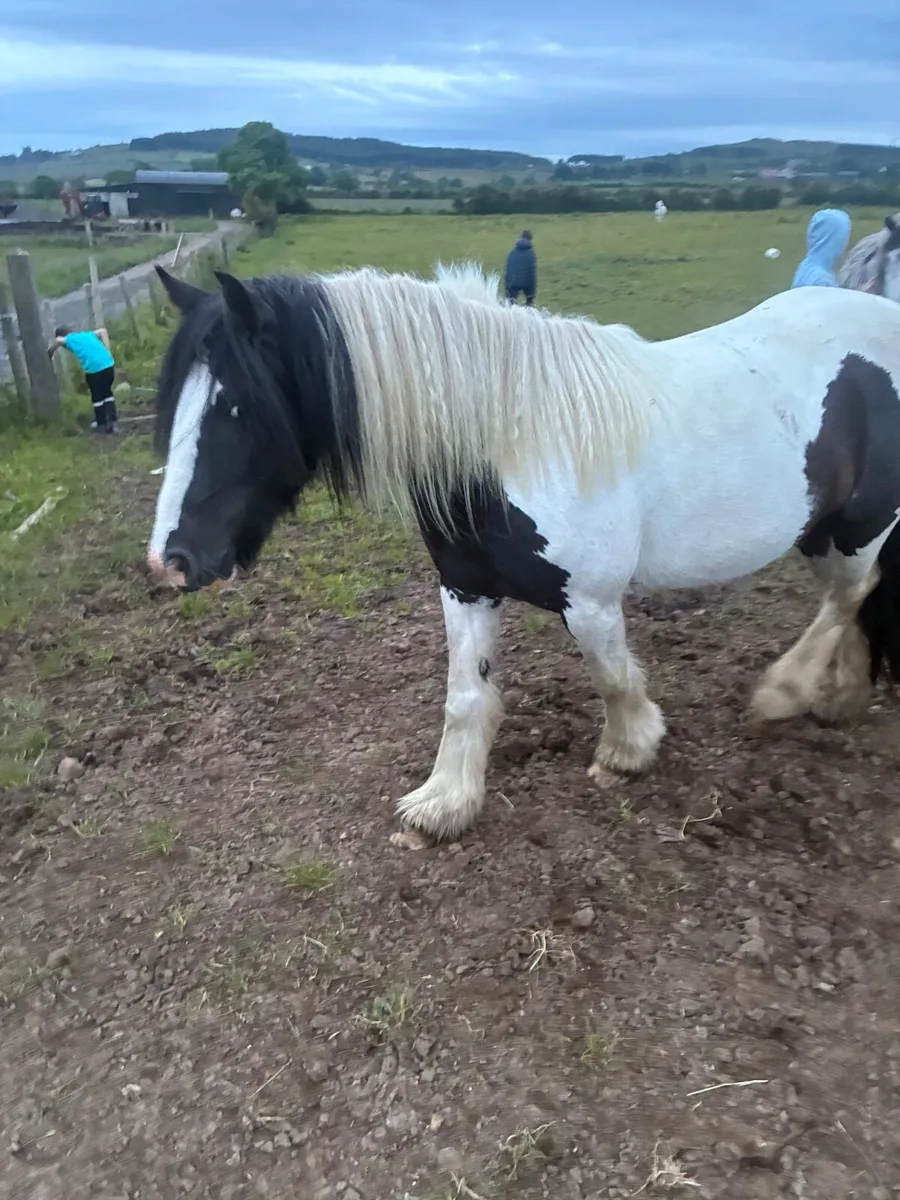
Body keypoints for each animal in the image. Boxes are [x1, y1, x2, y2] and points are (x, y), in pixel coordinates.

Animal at [147, 261, 900, 843]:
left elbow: (613, 676)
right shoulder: (464, 586)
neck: (513, 442)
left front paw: (628, 752)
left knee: (848, 597)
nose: (171, 561)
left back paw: (788, 692)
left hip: (856, 529)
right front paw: (445, 803)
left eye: (238, 406)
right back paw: (841, 694)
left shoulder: (591, 602)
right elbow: (465, 697)